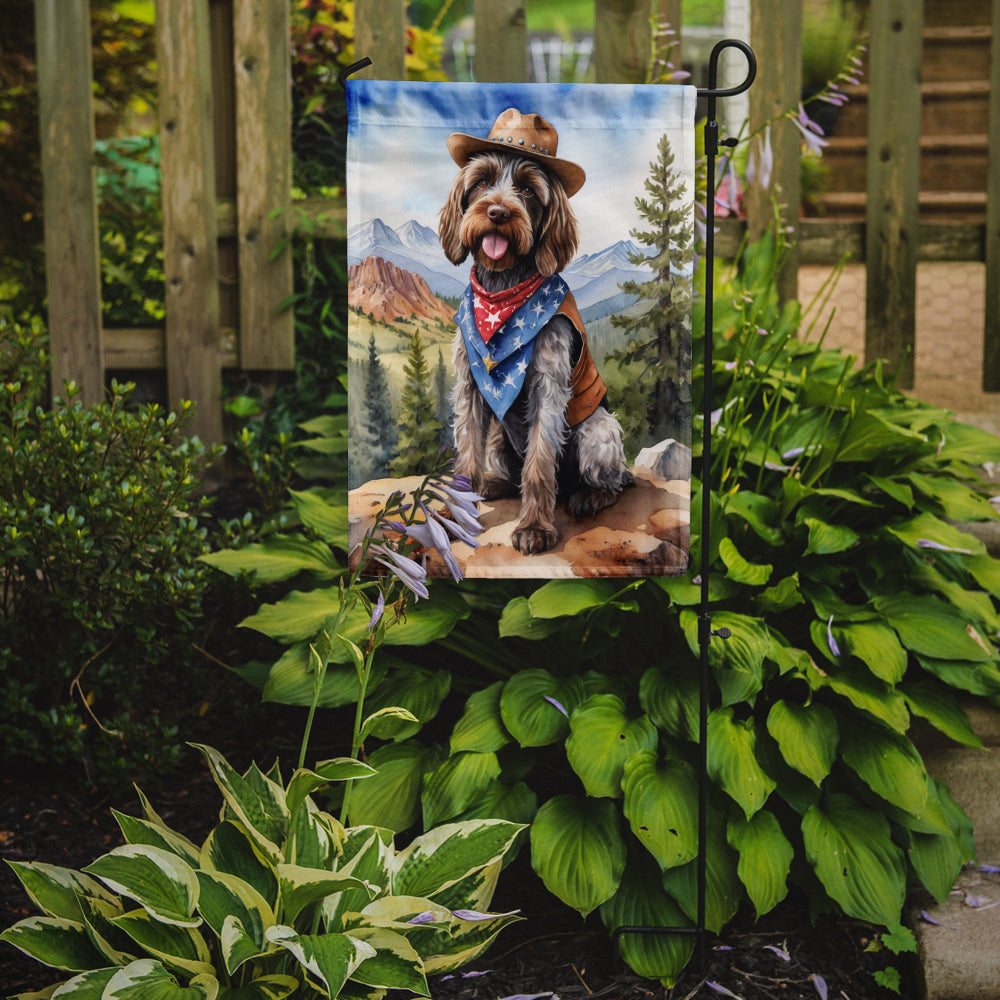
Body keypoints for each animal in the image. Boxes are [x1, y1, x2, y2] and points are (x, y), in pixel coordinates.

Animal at [440, 113, 628, 560]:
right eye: (481, 182)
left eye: (527, 189)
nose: (497, 212)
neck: (503, 287)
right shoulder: (470, 385)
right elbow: (466, 453)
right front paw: (457, 514)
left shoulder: (548, 384)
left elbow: (540, 463)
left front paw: (535, 528)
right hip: (499, 439)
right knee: (503, 468)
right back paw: (491, 483)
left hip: (598, 432)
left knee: (610, 481)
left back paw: (588, 496)